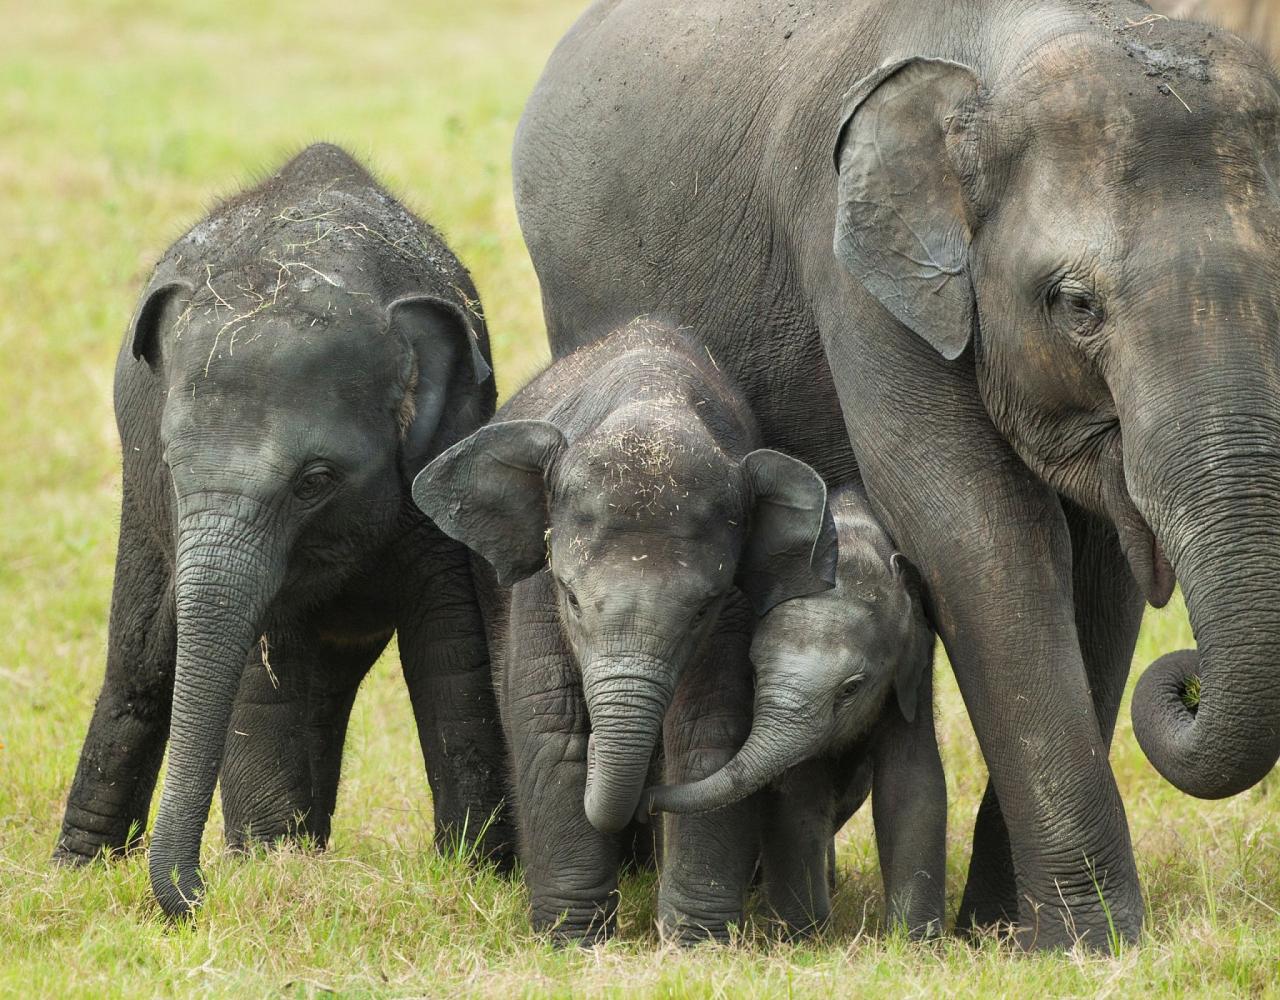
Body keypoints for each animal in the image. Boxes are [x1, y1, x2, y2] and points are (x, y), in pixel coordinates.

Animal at [53, 144, 514, 916]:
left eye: (315, 482)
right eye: (173, 468)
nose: (198, 892)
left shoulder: (444, 457)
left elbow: (452, 647)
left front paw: (479, 873)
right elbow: (260, 669)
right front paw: (271, 870)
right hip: (135, 503)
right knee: (139, 665)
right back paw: (76, 872)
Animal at [412, 321, 839, 942]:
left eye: (702, 610)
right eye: (569, 595)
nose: (644, 802)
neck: (653, 402)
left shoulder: (736, 605)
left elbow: (710, 732)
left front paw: (695, 946)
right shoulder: (537, 585)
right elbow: (552, 726)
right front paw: (571, 944)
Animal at [645, 483, 947, 937]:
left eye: (851, 689)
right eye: (753, 671)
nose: (646, 799)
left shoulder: (912, 670)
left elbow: (912, 783)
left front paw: (915, 942)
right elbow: (798, 795)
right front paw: (807, 938)